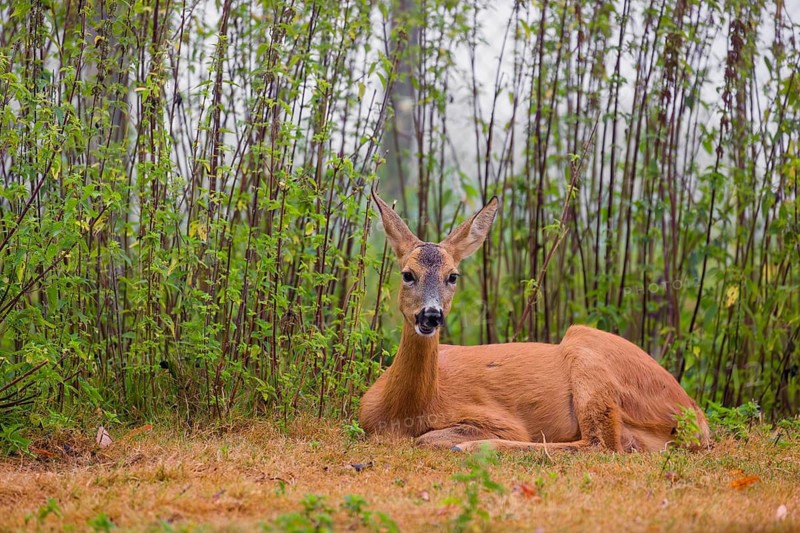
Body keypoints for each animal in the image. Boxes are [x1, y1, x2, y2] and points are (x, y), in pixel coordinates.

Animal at [359, 191, 710, 453]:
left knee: (601, 443)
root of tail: (695, 416)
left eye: (453, 276)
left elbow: (427, 439)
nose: (431, 315)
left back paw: (475, 447)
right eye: (408, 274)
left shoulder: (500, 420)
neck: (406, 411)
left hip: (587, 355)